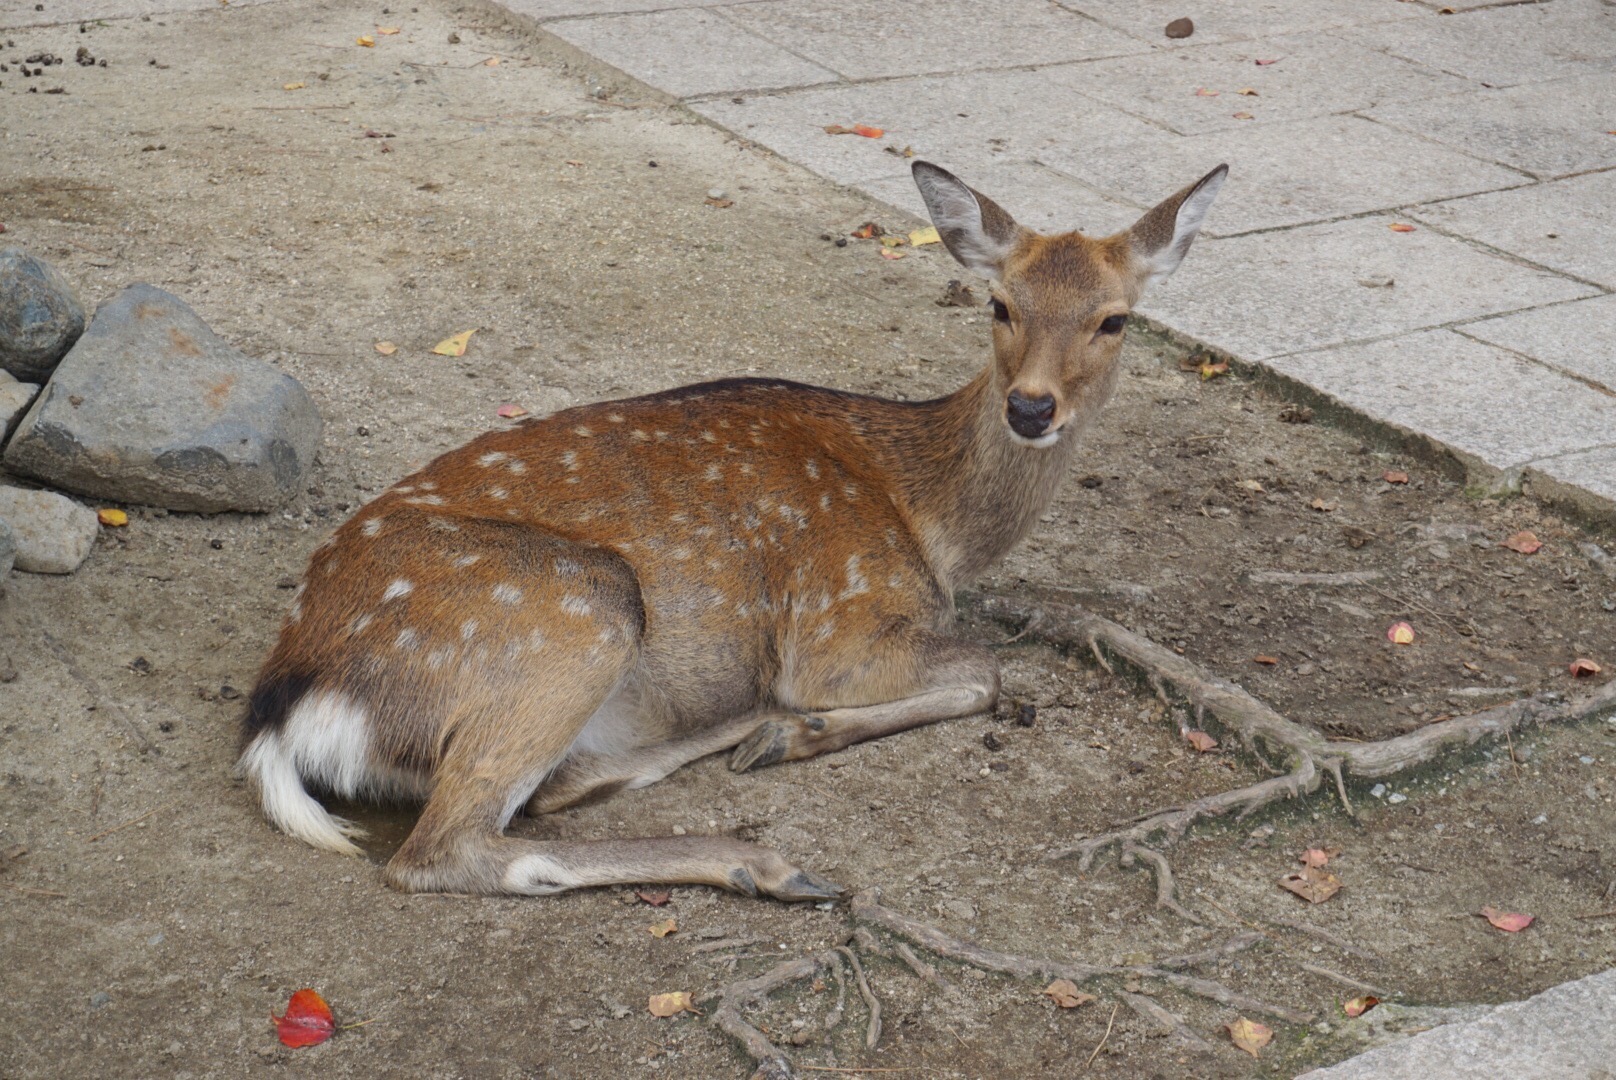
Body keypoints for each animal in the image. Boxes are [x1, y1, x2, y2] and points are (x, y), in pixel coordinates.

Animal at [235, 158, 1221, 905]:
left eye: (1115, 319)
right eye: (1000, 305)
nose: (1031, 407)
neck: (929, 521)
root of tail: (292, 703)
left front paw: (787, 733)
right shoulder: (839, 626)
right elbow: (985, 670)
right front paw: (804, 731)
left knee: (553, 789)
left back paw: (742, 739)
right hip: (573, 606)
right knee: (446, 848)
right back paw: (766, 857)